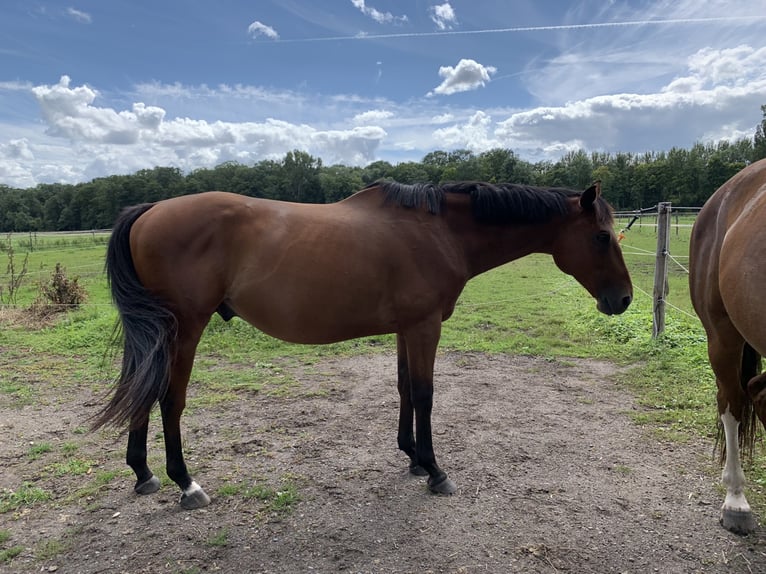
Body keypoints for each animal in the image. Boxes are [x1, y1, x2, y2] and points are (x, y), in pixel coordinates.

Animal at [97, 181, 636, 512]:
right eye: (602, 236)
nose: (624, 299)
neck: (439, 230)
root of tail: (150, 210)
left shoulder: (406, 328)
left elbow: (403, 389)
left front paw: (413, 457)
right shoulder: (424, 327)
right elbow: (425, 395)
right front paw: (435, 470)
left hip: (158, 333)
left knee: (143, 391)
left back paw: (143, 472)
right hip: (182, 330)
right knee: (168, 399)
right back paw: (185, 482)